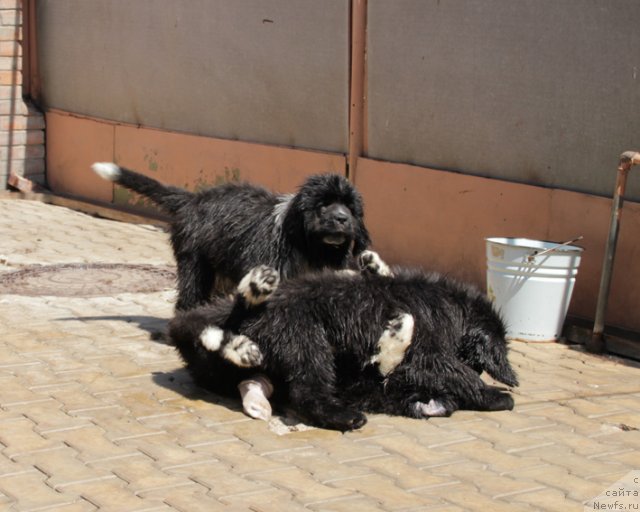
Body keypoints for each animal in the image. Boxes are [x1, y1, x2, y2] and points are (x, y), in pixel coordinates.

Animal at [90, 162, 370, 310]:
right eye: (324, 205)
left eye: (349, 207)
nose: (343, 219)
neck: (307, 245)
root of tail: (193, 200)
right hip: (195, 264)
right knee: (189, 296)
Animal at [168, 264, 516, 432]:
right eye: (478, 364)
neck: (455, 310)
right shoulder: (428, 354)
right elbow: (453, 372)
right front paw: (494, 395)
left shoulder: (379, 384)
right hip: (305, 339)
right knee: (308, 392)